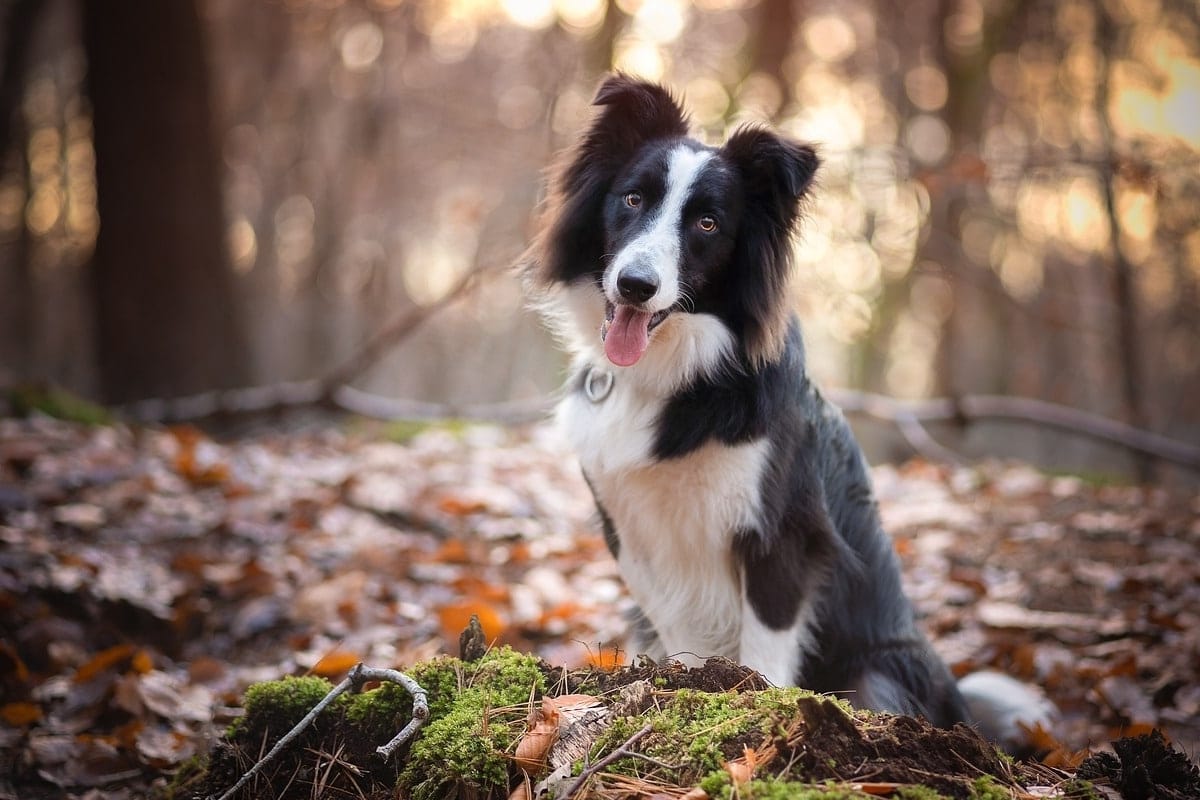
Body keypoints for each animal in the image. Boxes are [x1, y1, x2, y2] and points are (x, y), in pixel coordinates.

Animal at [523, 74, 1051, 753]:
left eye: (709, 223)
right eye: (633, 199)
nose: (636, 285)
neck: (677, 375)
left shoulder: (780, 534)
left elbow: (767, 648)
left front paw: (757, 708)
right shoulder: (633, 530)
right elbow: (680, 628)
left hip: (880, 672)